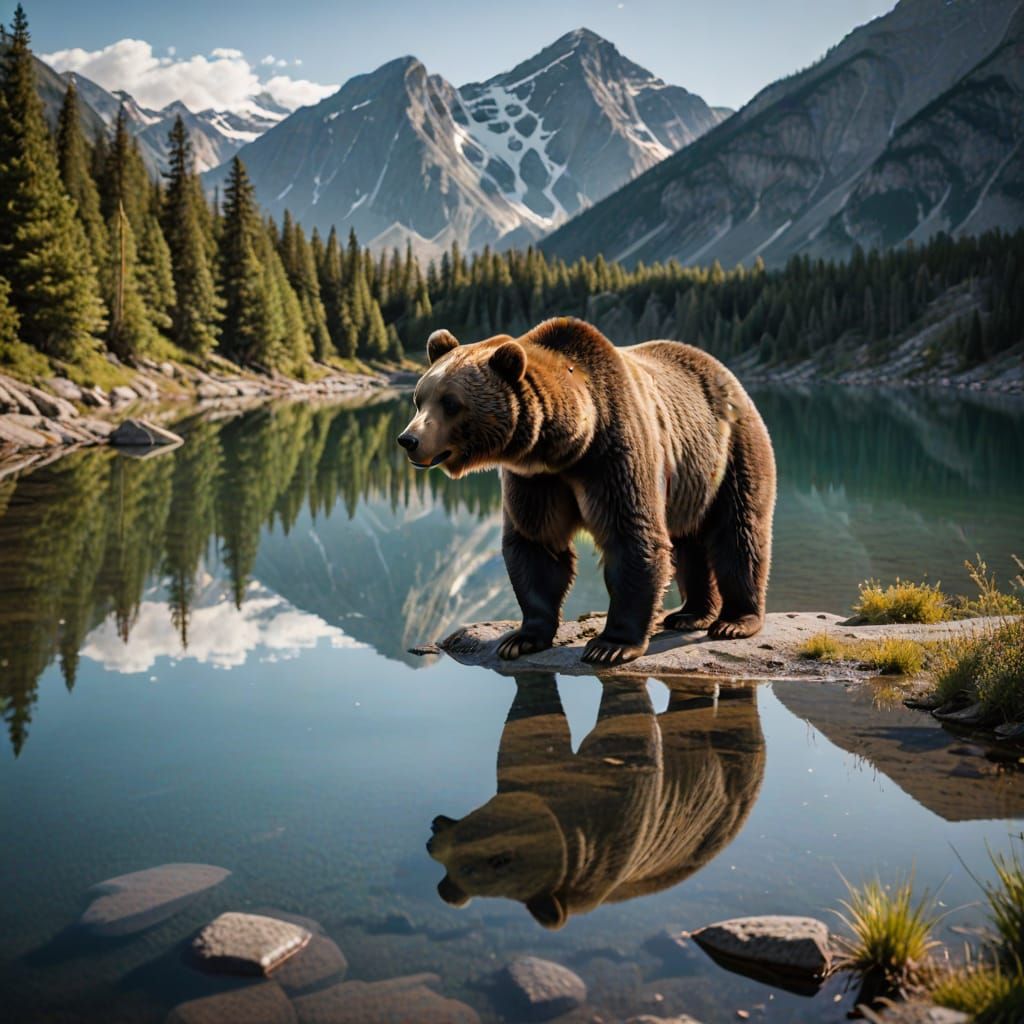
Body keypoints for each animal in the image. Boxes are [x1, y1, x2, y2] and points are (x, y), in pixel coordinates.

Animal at [397, 317, 776, 665]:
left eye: (450, 402)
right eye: (419, 398)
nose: (408, 439)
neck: (565, 446)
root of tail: (725, 372)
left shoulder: (613, 454)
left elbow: (630, 536)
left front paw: (610, 645)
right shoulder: (536, 480)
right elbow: (537, 544)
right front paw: (521, 638)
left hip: (733, 450)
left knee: (738, 532)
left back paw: (735, 621)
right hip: (689, 477)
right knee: (688, 540)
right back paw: (690, 613)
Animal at [426, 672, 765, 929]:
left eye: (500, 860)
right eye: (449, 867)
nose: (434, 841)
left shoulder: (616, 826)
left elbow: (627, 734)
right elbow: (529, 736)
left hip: (730, 797)